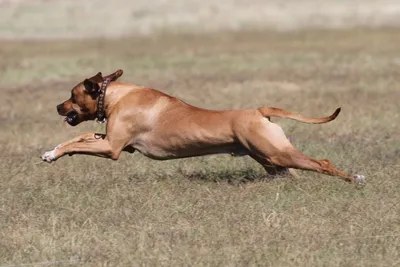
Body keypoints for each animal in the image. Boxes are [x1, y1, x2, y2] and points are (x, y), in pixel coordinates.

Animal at [41, 70, 366, 185]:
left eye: (72, 95)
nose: (57, 107)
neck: (114, 95)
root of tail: (259, 111)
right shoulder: (113, 140)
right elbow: (80, 136)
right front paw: (53, 150)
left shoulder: (112, 147)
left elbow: (78, 142)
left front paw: (54, 153)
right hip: (269, 157)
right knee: (291, 172)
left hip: (276, 153)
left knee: (321, 163)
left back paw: (354, 178)